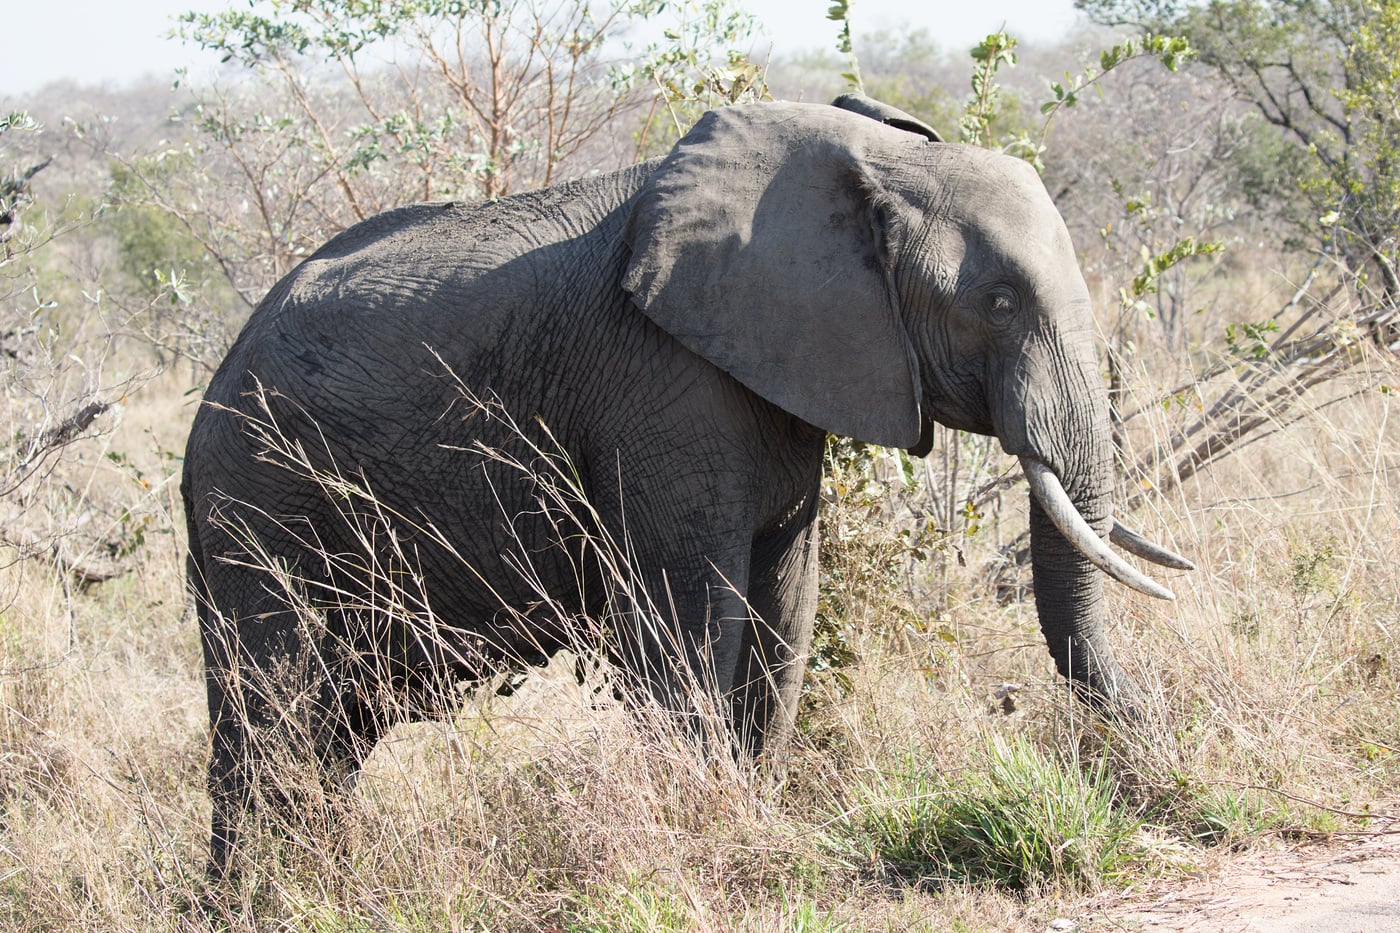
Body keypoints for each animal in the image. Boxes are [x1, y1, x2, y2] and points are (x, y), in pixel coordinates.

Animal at [181, 93, 1192, 875]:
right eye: (999, 303)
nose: (1156, 754)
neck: (862, 155)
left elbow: (788, 602)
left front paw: (757, 819)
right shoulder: (662, 388)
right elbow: (694, 613)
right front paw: (711, 833)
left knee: (333, 729)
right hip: (253, 506)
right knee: (269, 709)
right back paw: (262, 896)